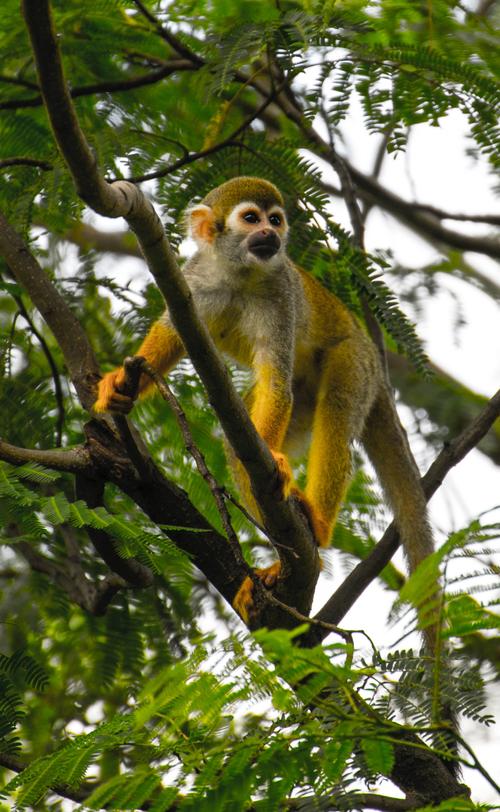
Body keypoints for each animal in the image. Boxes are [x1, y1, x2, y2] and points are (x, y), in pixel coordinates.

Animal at [93, 176, 434, 620]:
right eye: (252, 219)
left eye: (275, 220)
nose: (271, 234)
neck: (239, 273)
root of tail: (373, 357)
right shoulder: (192, 281)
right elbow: (171, 336)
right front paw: (120, 382)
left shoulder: (281, 293)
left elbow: (276, 381)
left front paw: (270, 456)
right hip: (307, 397)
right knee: (238, 445)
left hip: (353, 359)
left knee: (336, 411)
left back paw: (317, 525)